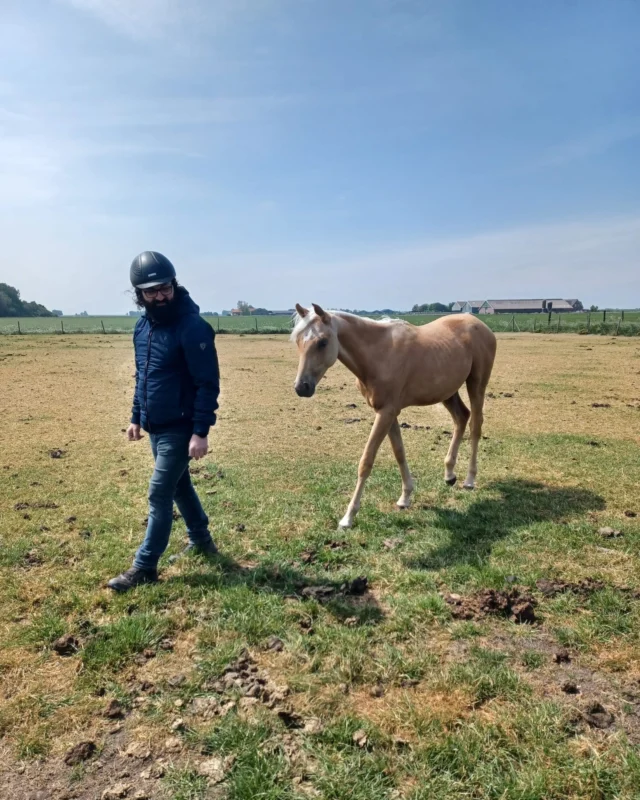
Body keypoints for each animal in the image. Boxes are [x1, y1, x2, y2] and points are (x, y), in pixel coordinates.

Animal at [291, 303, 497, 529]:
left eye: (322, 342)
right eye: (298, 341)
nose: (302, 387)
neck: (378, 354)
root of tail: (481, 325)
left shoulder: (387, 412)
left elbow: (367, 461)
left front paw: (348, 517)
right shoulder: (387, 412)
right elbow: (399, 452)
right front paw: (405, 497)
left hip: (476, 384)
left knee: (475, 425)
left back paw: (469, 480)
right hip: (447, 392)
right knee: (461, 417)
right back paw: (449, 475)